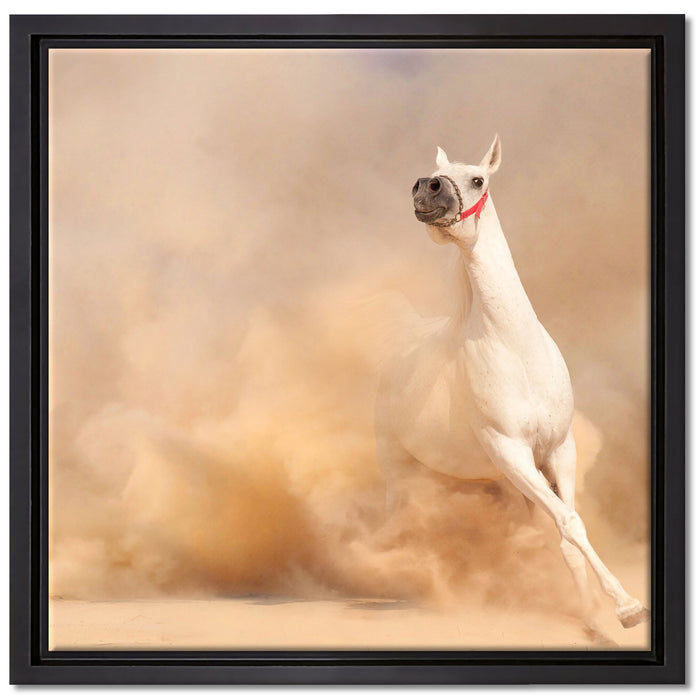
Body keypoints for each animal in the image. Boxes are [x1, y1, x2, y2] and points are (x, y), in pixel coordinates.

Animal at [374, 136, 649, 630]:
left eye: (478, 179)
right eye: (434, 175)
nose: (426, 188)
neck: (515, 348)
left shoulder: (557, 450)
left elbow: (566, 525)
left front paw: (591, 613)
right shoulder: (511, 452)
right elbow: (569, 523)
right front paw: (626, 607)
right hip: (400, 468)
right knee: (398, 522)